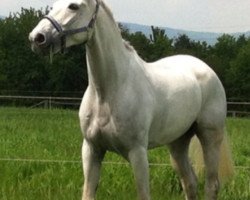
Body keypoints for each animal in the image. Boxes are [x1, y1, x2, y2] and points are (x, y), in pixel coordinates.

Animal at [29, 0, 234, 199]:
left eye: (73, 6)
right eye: (53, 5)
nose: (37, 37)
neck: (108, 92)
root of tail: (206, 69)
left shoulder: (138, 152)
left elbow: (143, 194)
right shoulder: (92, 150)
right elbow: (88, 193)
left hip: (210, 136)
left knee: (211, 185)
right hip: (178, 142)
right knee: (189, 183)